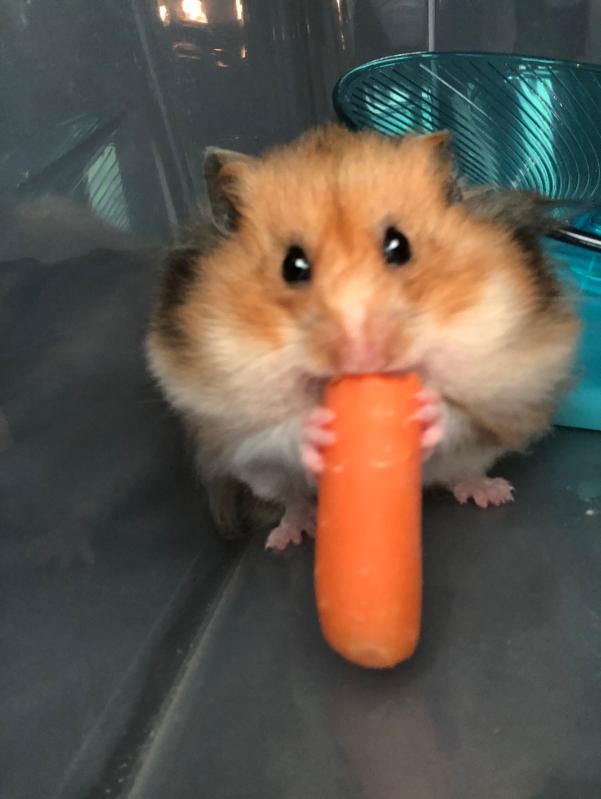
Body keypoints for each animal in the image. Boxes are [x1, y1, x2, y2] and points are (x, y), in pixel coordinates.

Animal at [146, 124, 579, 550]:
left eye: (399, 246)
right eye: (292, 266)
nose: (362, 356)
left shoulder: (513, 382)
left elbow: (461, 413)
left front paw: (426, 410)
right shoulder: (220, 422)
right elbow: (274, 433)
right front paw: (315, 429)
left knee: (462, 472)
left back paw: (493, 494)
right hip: (264, 481)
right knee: (294, 498)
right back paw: (287, 536)